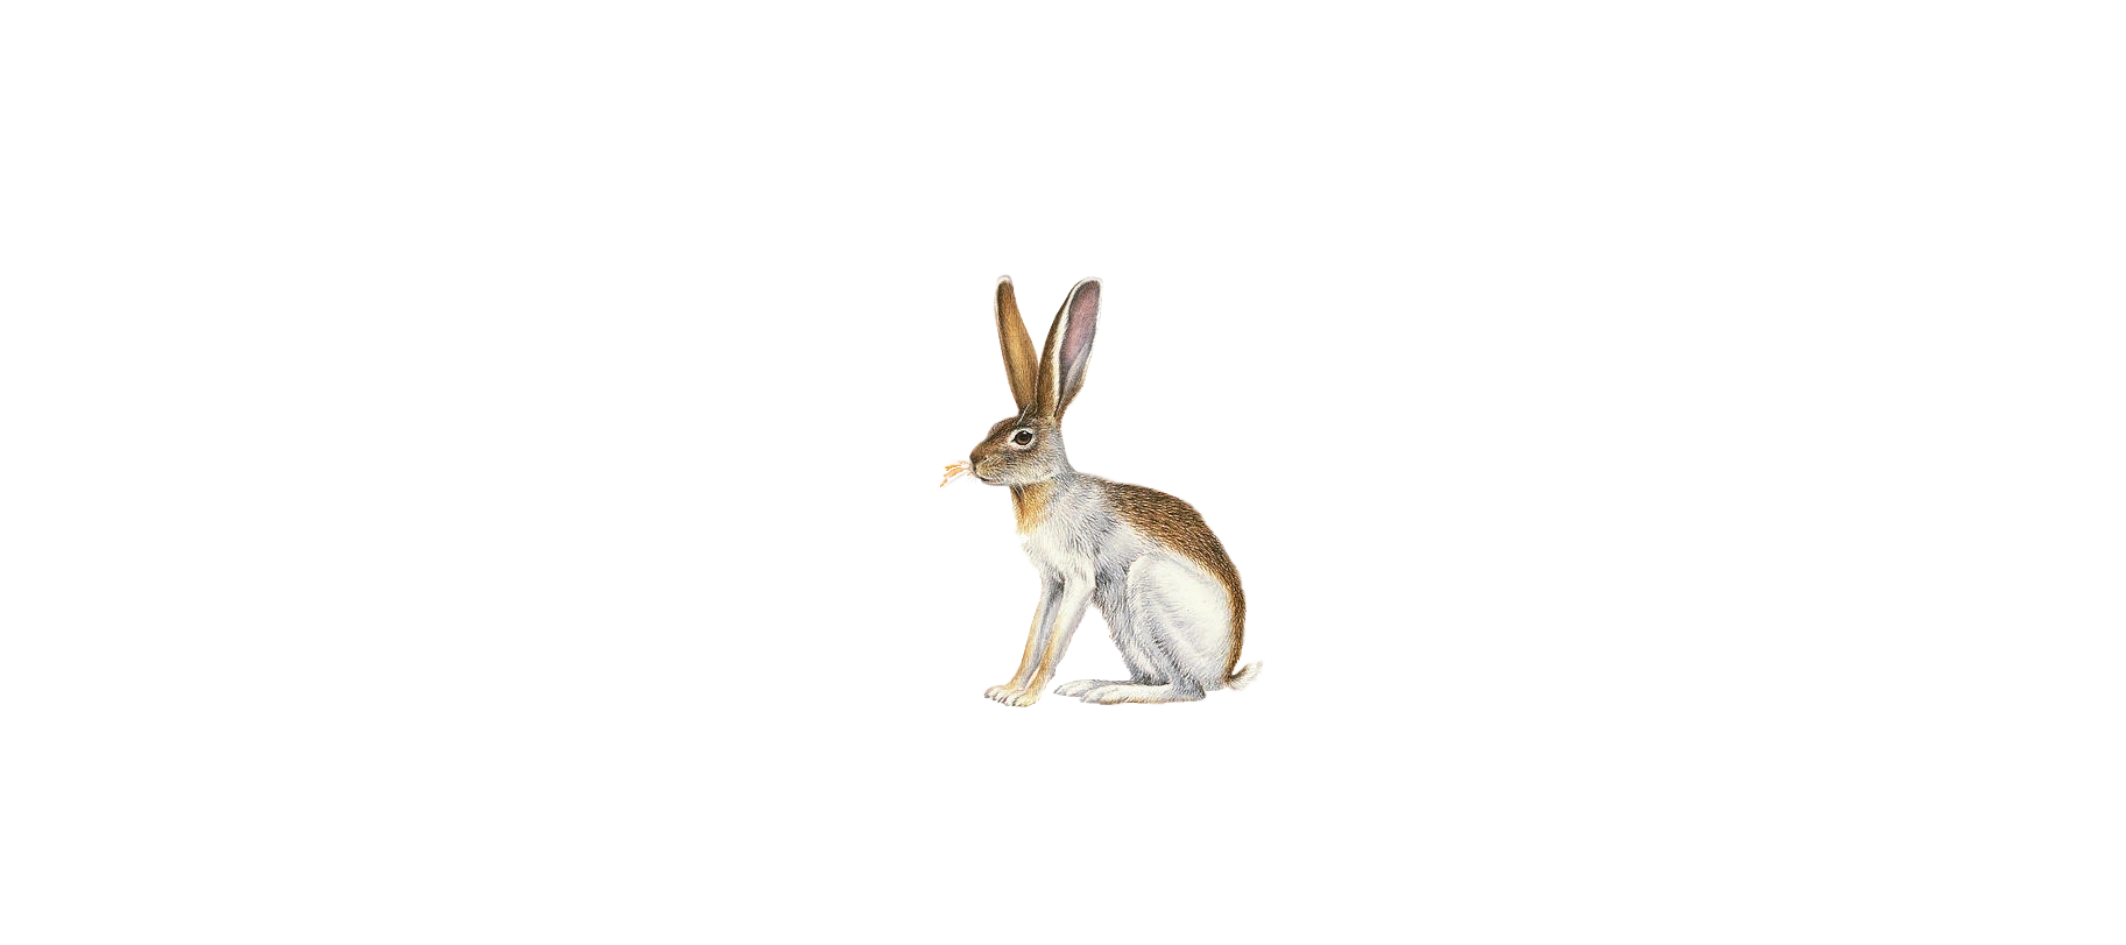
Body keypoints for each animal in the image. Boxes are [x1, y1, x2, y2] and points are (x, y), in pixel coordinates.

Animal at [942, 276, 1264, 709]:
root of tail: (1228, 670)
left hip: (1146, 589)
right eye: (996, 427)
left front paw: (1027, 697)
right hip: (1124, 620)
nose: (975, 461)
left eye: (1022, 437)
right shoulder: (1053, 582)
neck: (1047, 488)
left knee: (1189, 688)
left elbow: (1052, 645)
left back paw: (1111, 689)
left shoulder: (1078, 579)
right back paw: (1087, 684)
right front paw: (1006, 690)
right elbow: (1034, 638)